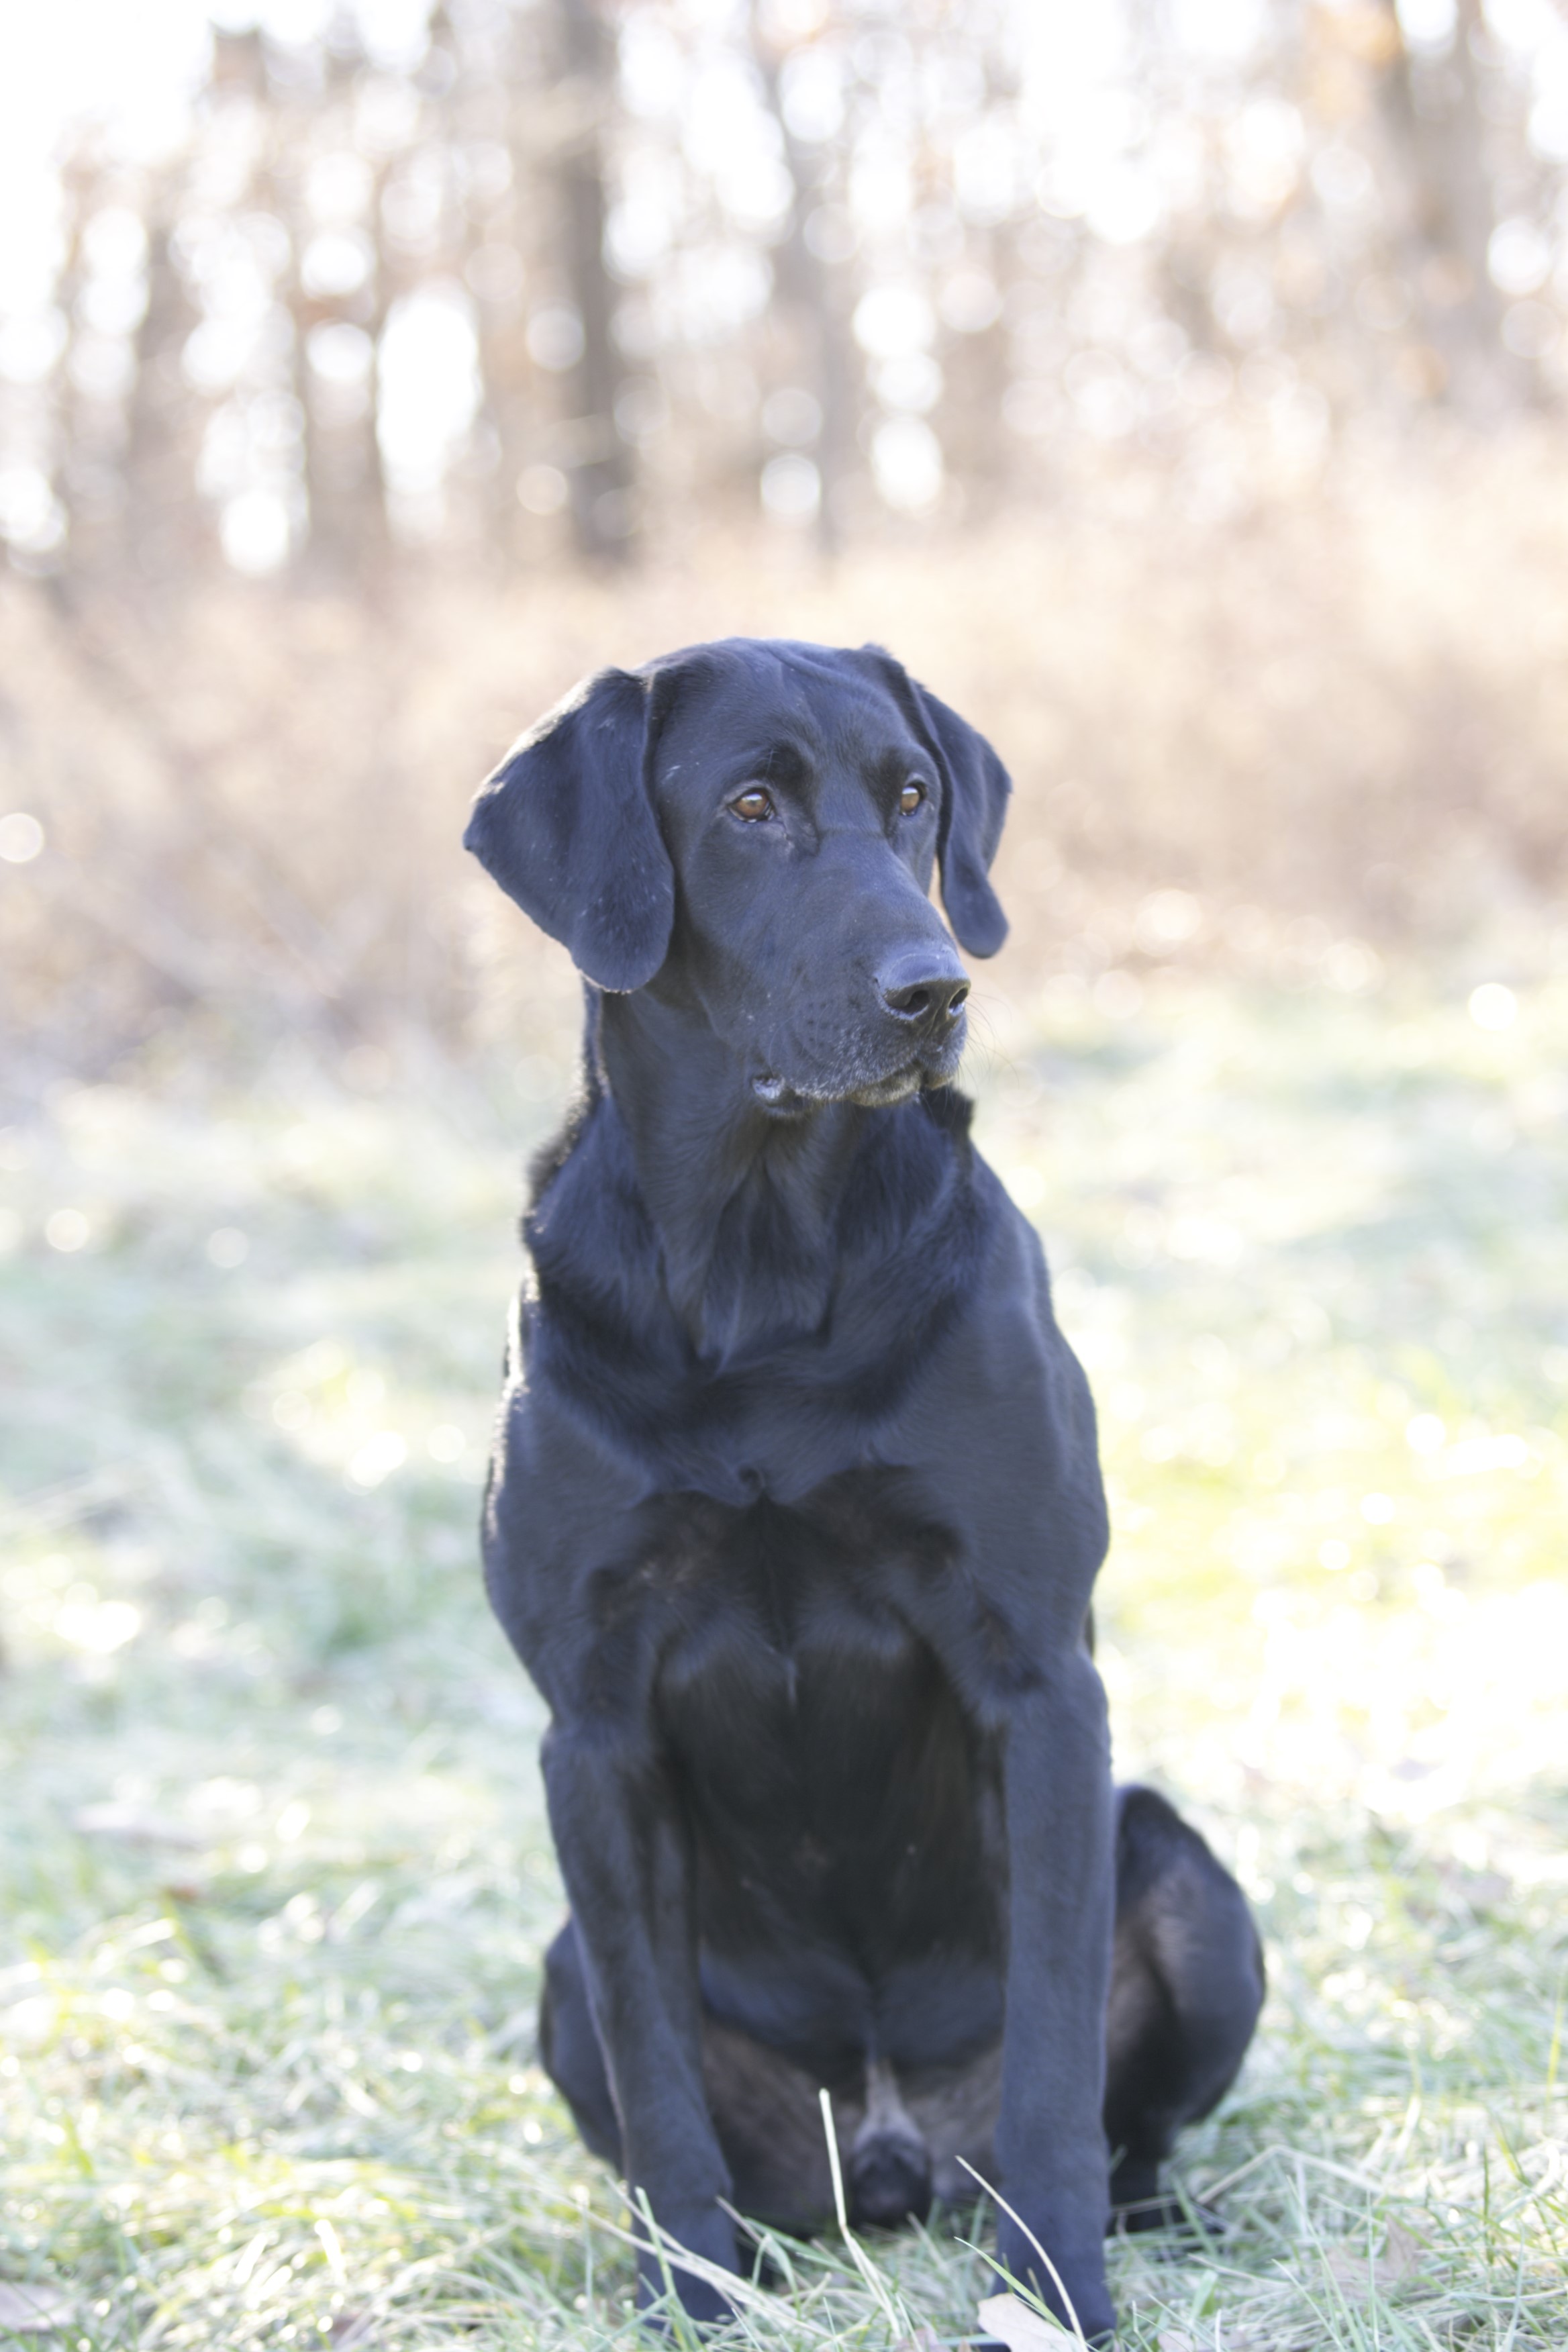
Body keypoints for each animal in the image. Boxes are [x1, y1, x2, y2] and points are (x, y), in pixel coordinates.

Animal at [462, 635, 1260, 2342]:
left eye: (911, 799)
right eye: (749, 807)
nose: (932, 988)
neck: (761, 1261)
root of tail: (891, 2159)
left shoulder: (1039, 1677)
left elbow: (1050, 2048)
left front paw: (1054, 2282)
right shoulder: (591, 1726)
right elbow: (655, 2076)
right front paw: (688, 2294)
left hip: (1183, 1875)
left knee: (1129, 2111)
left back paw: (1138, 2215)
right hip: (557, 1967)